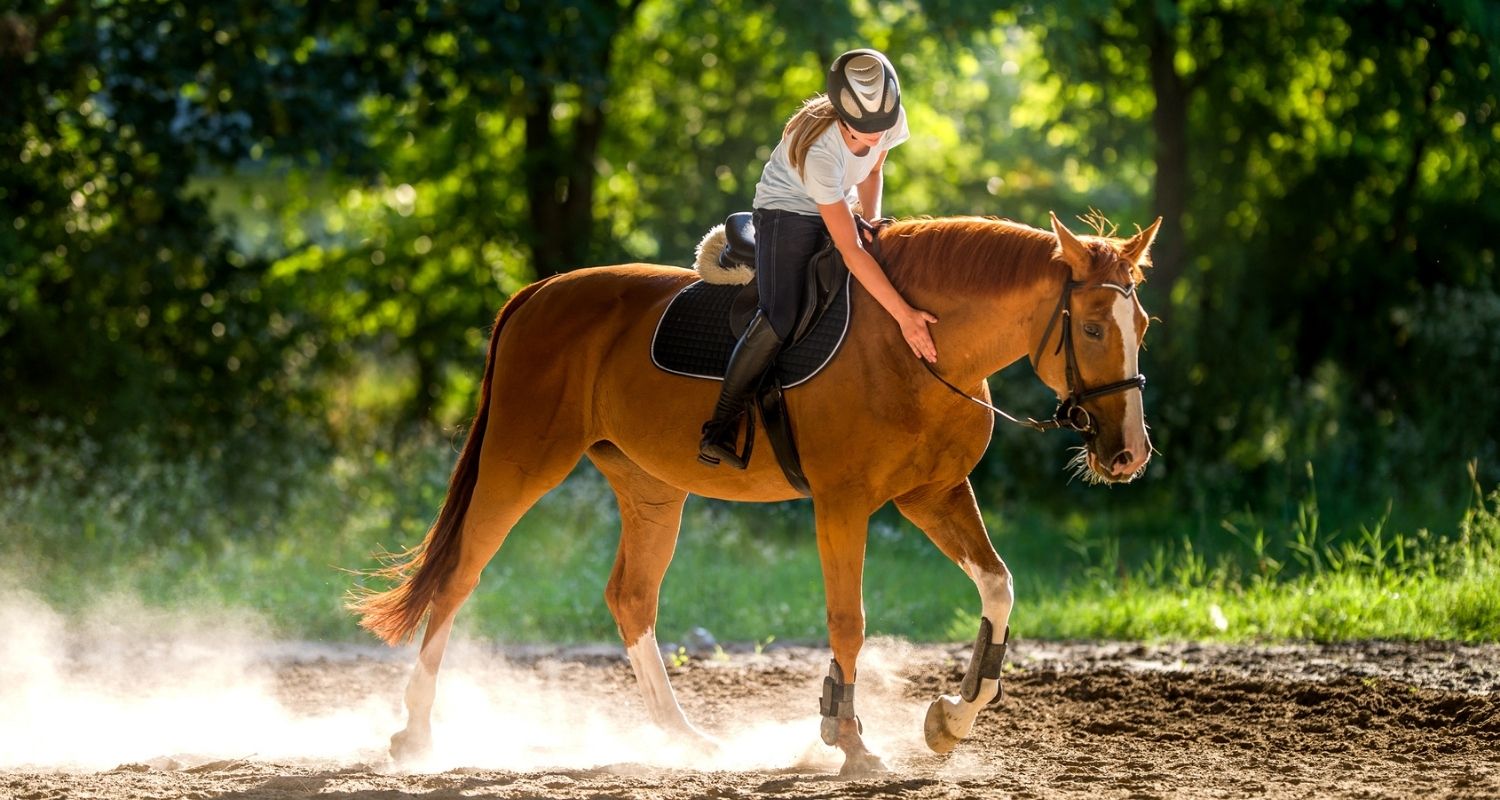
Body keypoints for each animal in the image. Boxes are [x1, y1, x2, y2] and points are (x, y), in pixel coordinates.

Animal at [348, 210, 1158, 774]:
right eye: (1091, 328)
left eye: (1141, 323)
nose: (1128, 455)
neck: (917, 346)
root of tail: (539, 292)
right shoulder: (842, 503)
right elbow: (848, 623)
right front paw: (850, 743)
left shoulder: (934, 494)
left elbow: (997, 588)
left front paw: (949, 719)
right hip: (521, 462)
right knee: (460, 576)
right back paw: (415, 733)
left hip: (650, 489)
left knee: (630, 598)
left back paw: (682, 736)